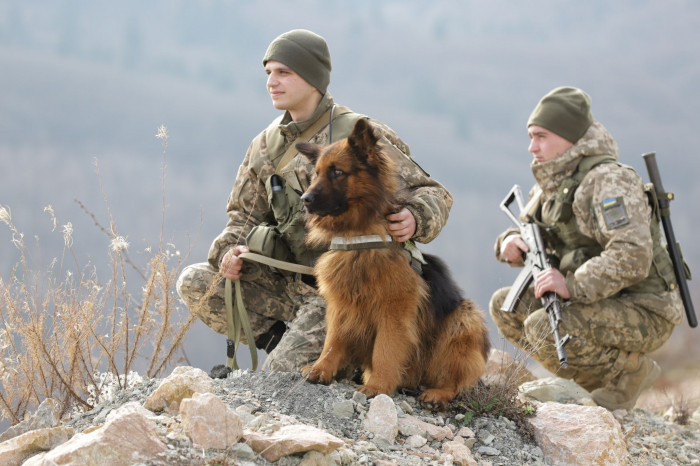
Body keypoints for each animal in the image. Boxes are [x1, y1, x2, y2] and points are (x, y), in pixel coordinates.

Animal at [298, 119, 490, 408]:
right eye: (316, 173)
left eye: (337, 172)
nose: (305, 200)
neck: (359, 236)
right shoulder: (340, 305)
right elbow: (332, 341)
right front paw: (321, 368)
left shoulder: (394, 310)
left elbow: (385, 350)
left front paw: (377, 385)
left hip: (465, 320)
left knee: (454, 381)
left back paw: (436, 393)